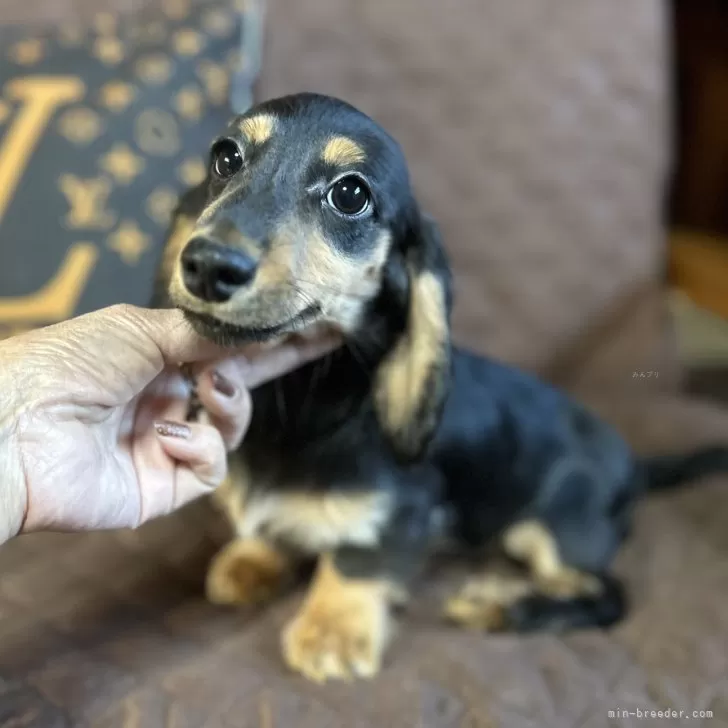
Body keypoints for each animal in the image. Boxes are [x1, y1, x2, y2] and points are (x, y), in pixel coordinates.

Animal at [152, 92, 728, 684]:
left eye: (350, 194)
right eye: (225, 157)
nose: (208, 265)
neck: (301, 397)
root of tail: (634, 463)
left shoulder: (404, 508)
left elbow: (357, 557)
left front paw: (332, 630)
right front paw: (256, 559)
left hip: (555, 526)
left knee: (608, 595)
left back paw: (502, 604)